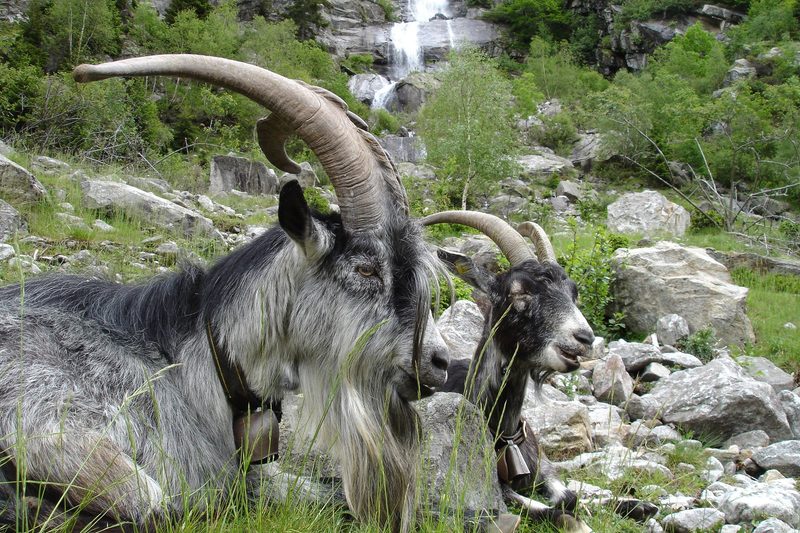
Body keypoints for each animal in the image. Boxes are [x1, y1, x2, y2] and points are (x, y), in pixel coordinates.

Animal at [425, 212, 657, 531]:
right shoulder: (497, 488)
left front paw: (635, 504)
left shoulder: (543, 465)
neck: (506, 435)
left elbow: (569, 494)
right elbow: (552, 508)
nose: (584, 338)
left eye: (573, 293)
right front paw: (580, 522)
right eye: (519, 292)